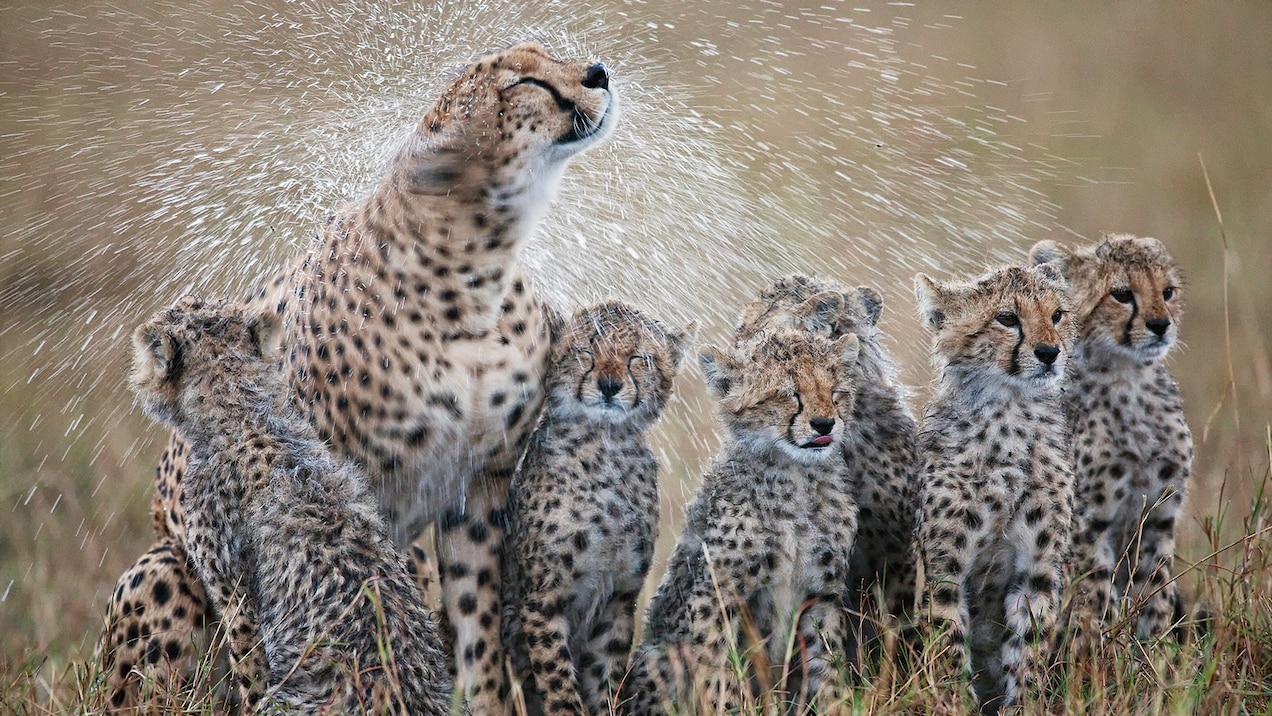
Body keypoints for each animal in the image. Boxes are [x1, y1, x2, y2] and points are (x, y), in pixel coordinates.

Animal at [501, 301, 693, 716]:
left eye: (637, 359)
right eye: (585, 352)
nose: (609, 386)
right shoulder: (544, 598)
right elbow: (557, 680)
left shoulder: (619, 598)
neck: (605, 449)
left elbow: (607, 674)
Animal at [620, 328, 863, 716]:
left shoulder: (821, 596)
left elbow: (827, 667)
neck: (795, 476)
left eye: (835, 391)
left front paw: (835, 705)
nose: (825, 423)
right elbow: (721, 673)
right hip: (659, 655)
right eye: (788, 393)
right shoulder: (717, 596)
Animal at [912, 263, 1076, 713]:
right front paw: (955, 704)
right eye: (1007, 318)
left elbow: (1029, 646)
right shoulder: (945, 570)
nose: (1049, 352)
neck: (1010, 410)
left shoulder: (1037, 571)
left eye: (1057, 315)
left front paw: (1026, 704)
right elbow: (948, 643)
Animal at [1030, 234, 1193, 645]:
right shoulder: (1090, 521)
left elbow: (1156, 588)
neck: (1129, 377)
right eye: (1121, 294)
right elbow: (1093, 593)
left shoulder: (1161, 514)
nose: (1160, 325)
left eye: (1167, 292)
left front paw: (1154, 653)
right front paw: (1094, 653)